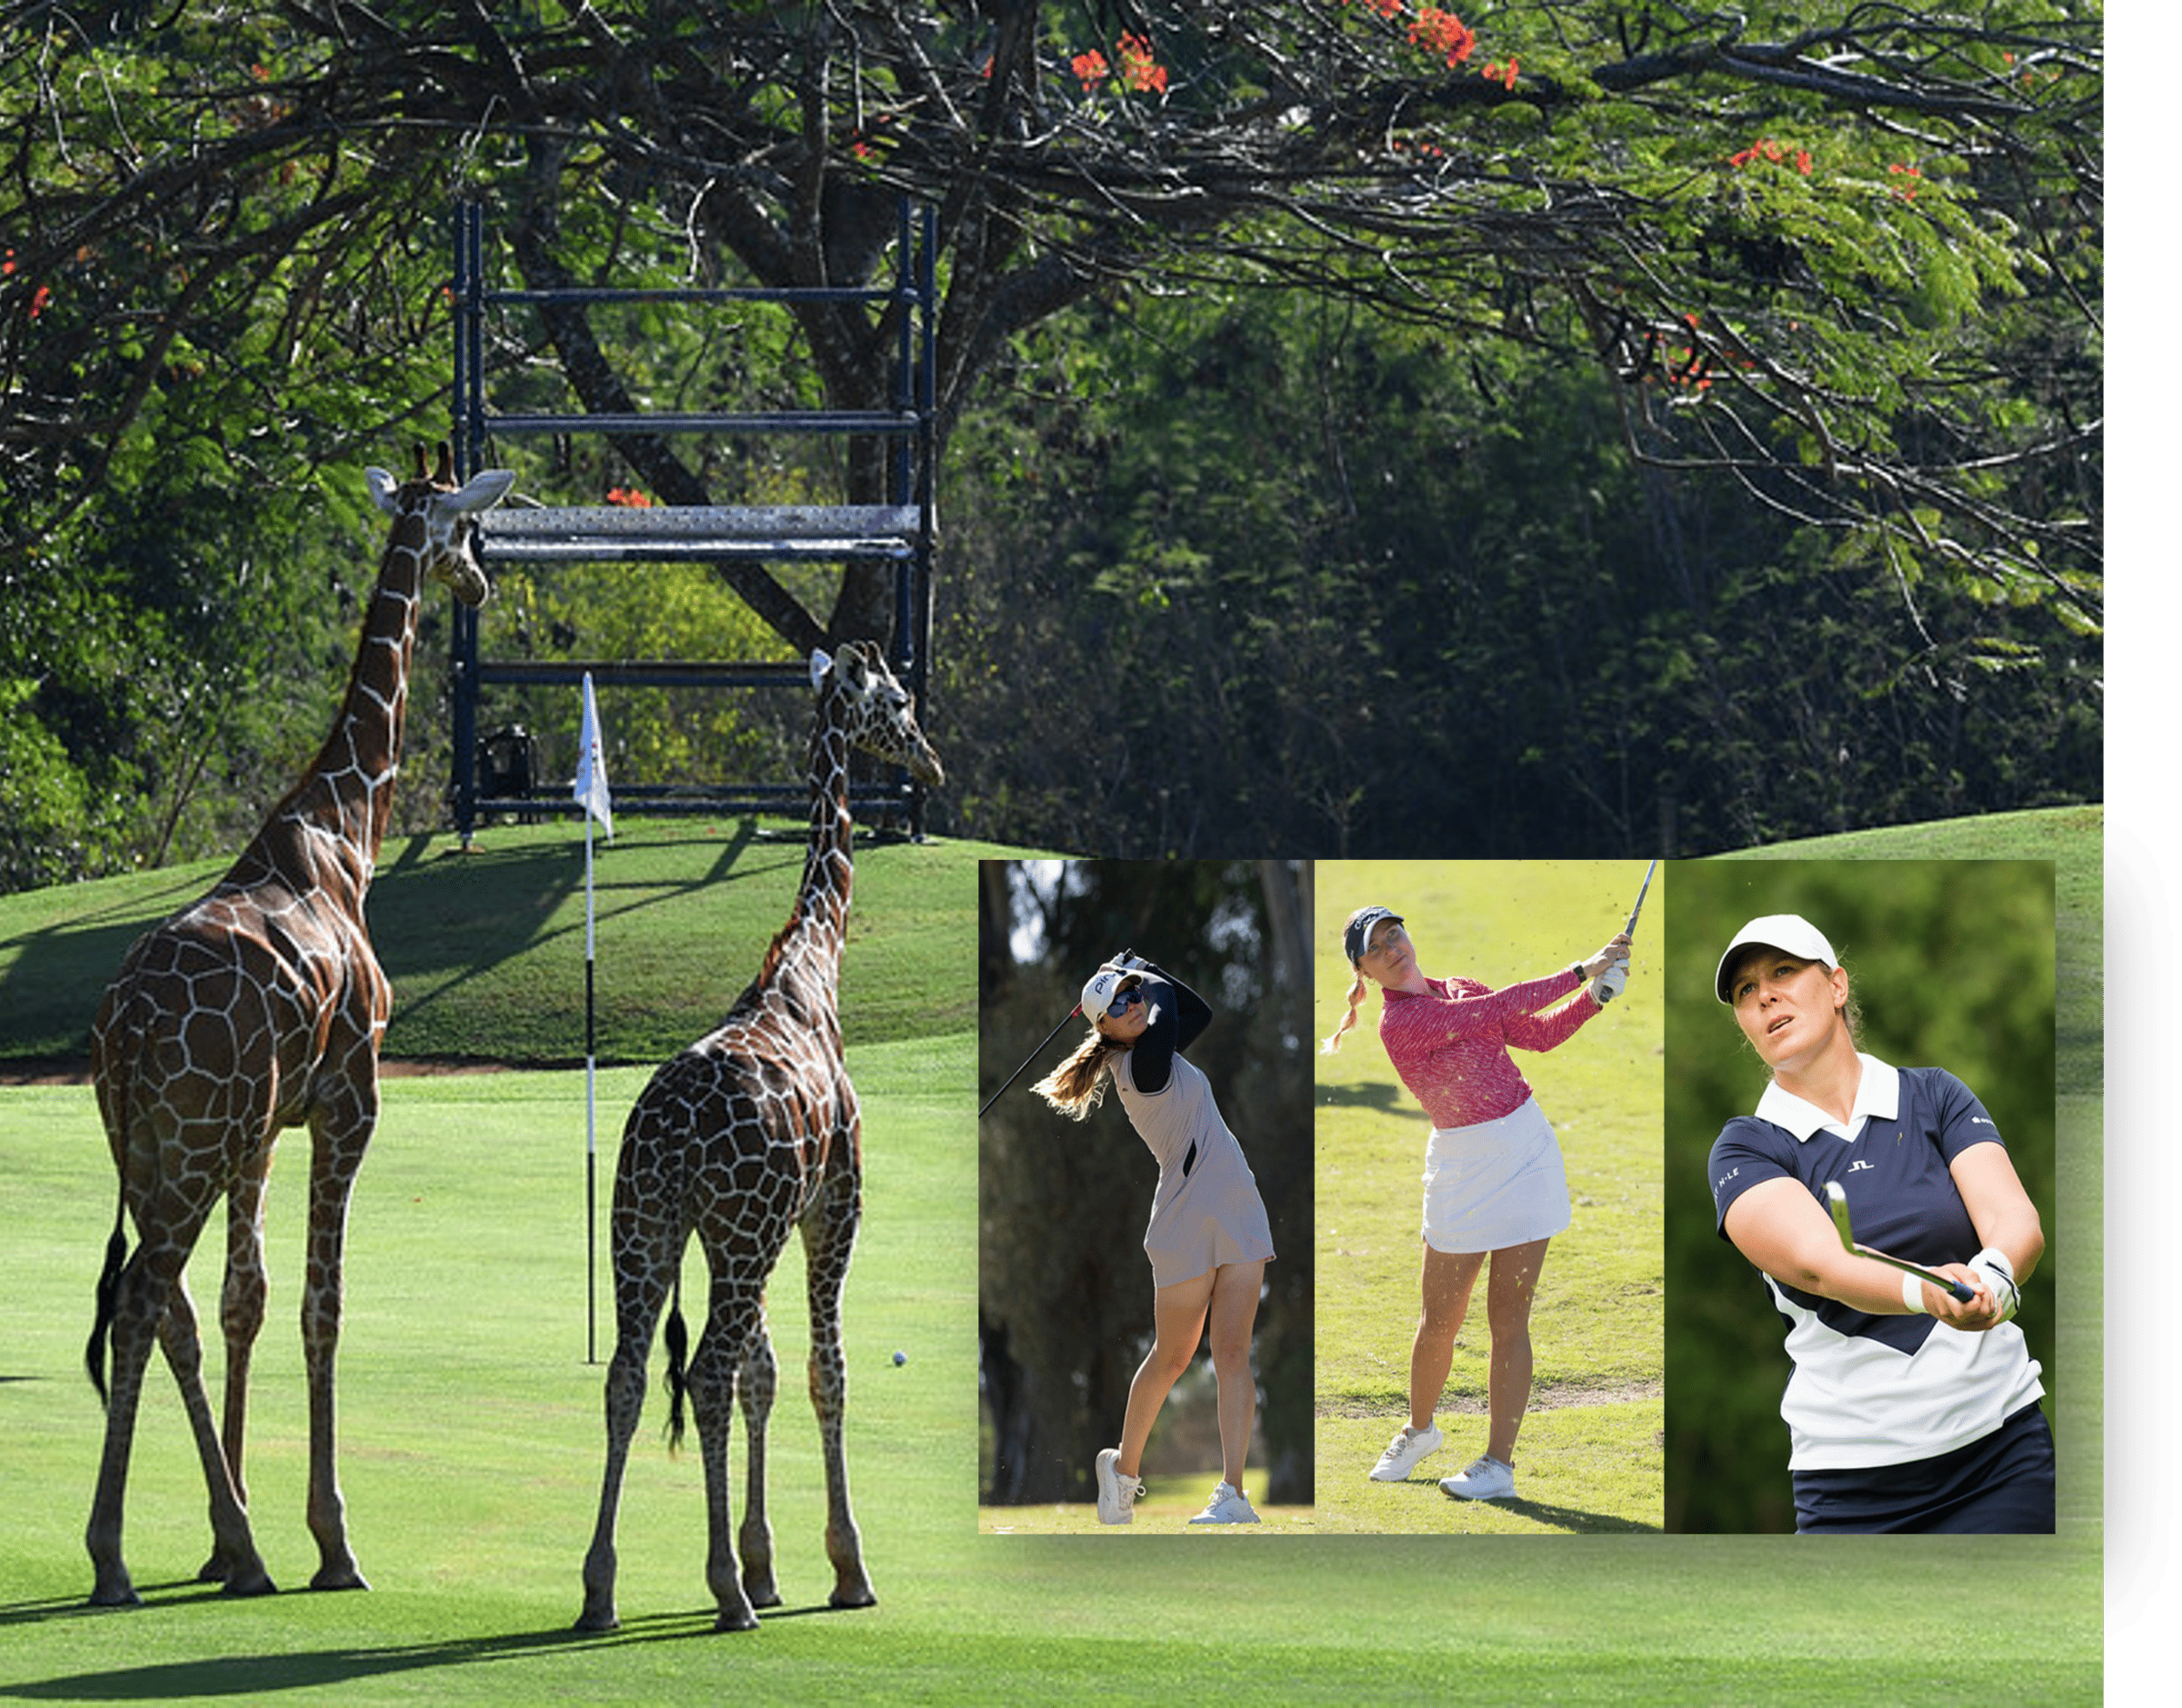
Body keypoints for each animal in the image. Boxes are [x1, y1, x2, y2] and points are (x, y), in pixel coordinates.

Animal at [80, 444, 515, 1613]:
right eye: (472, 529)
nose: (480, 583)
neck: (345, 831)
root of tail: (126, 1027)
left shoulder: (260, 1133)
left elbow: (246, 1301)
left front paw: (224, 1540)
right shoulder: (349, 1103)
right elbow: (324, 1305)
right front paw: (332, 1539)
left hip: (150, 1144)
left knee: (168, 1304)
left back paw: (219, 1543)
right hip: (185, 1147)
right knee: (143, 1298)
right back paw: (117, 1556)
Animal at [580, 636, 946, 1632]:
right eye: (898, 700)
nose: (932, 760)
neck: (811, 967)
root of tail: (669, 1135)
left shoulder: (734, 1230)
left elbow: (765, 1374)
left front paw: (768, 1559)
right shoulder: (833, 1205)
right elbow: (825, 1370)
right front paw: (844, 1566)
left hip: (643, 1225)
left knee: (629, 1374)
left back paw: (600, 1588)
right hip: (739, 1233)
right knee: (702, 1372)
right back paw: (723, 1593)